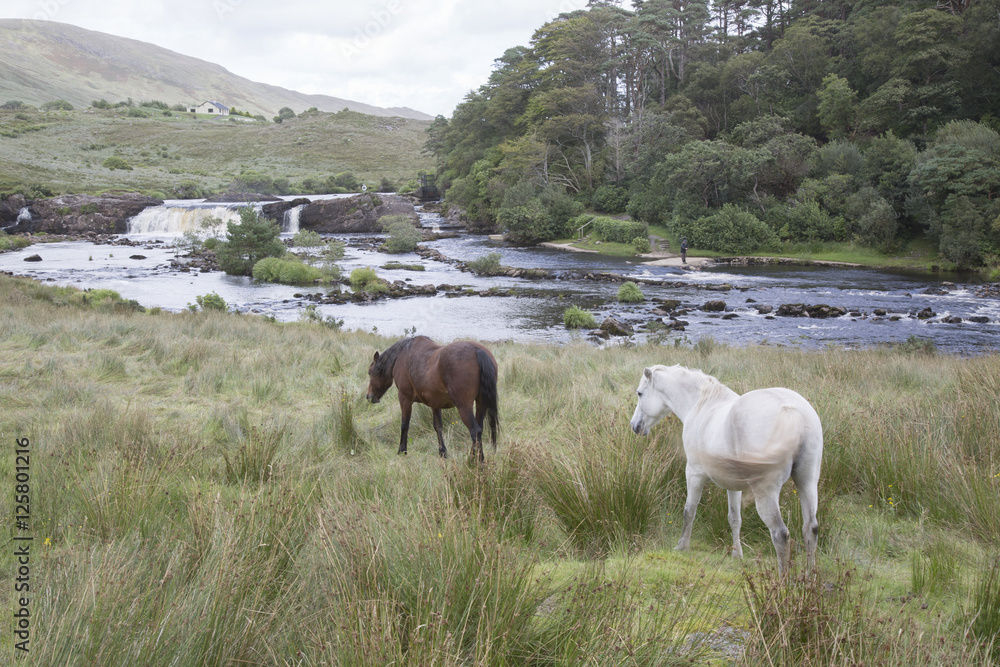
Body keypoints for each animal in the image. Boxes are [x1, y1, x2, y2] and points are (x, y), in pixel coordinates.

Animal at [366, 336, 499, 461]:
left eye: (370, 372)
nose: (369, 396)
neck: (402, 355)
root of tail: (478, 351)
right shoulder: (435, 403)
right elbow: (438, 427)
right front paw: (443, 452)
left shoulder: (404, 398)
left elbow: (405, 424)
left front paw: (402, 450)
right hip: (481, 403)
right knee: (479, 430)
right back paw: (472, 457)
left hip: (464, 407)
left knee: (475, 430)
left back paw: (476, 461)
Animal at [629, 365, 822, 576]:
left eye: (640, 393)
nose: (635, 426)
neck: (701, 405)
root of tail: (792, 411)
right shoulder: (734, 485)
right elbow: (734, 518)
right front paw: (737, 554)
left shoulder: (694, 473)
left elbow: (689, 511)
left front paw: (682, 546)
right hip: (807, 483)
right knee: (810, 528)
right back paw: (809, 577)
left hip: (766, 491)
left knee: (780, 533)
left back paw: (783, 580)